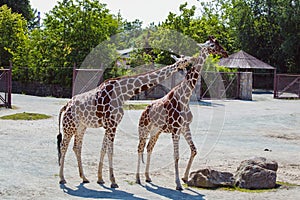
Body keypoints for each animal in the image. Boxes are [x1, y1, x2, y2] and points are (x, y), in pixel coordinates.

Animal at [56, 55, 193, 188]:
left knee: (76, 147)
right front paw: (113, 181)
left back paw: (84, 178)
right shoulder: (112, 124)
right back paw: (62, 178)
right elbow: (110, 151)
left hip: (81, 127)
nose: (191, 62)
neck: (123, 92)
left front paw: (100, 179)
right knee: (63, 146)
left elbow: (104, 149)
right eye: (185, 60)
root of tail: (65, 106)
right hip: (69, 126)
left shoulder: (110, 125)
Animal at [136, 36, 227, 191]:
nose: (225, 52)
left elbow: (194, 150)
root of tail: (143, 111)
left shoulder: (185, 127)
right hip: (144, 128)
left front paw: (185, 178)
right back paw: (137, 178)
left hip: (156, 131)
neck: (185, 97)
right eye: (212, 45)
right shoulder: (175, 129)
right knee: (140, 148)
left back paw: (148, 177)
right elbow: (176, 156)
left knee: (149, 148)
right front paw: (178, 183)